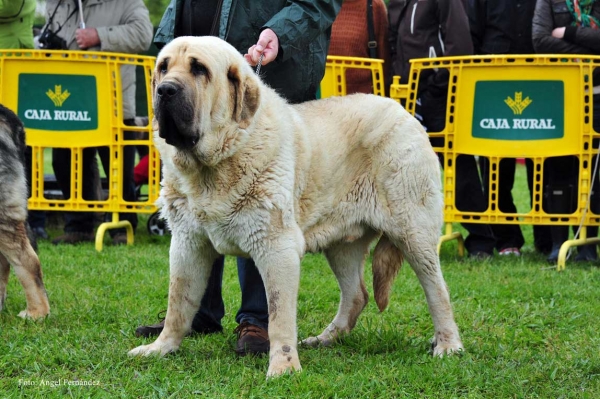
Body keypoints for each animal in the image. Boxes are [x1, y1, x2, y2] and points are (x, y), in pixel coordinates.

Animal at [129, 36, 462, 376]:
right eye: (164, 67)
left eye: (199, 69)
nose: (165, 90)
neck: (213, 167)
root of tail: (404, 112)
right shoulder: (188, 243)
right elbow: (178, 302)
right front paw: (161, 348)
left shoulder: (277, 248)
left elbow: (278, 314)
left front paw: (284, 367)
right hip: (342, 244)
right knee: (356, 294)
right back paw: (325, 338)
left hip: (413, 232)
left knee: (438, 290)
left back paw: (448, 345)